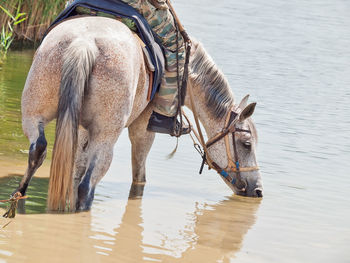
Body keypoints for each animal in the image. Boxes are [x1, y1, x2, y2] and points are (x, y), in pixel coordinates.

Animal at [13, 16, 262, 211]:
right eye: (247, 144)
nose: (258, 189)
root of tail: (84, 44)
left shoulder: (82, 128)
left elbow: (76, 168)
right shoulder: (143, 129)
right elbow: (139, 176)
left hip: (35, 114)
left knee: (38, 149)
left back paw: (18, 197)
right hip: (106, 135)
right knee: (87, 185)